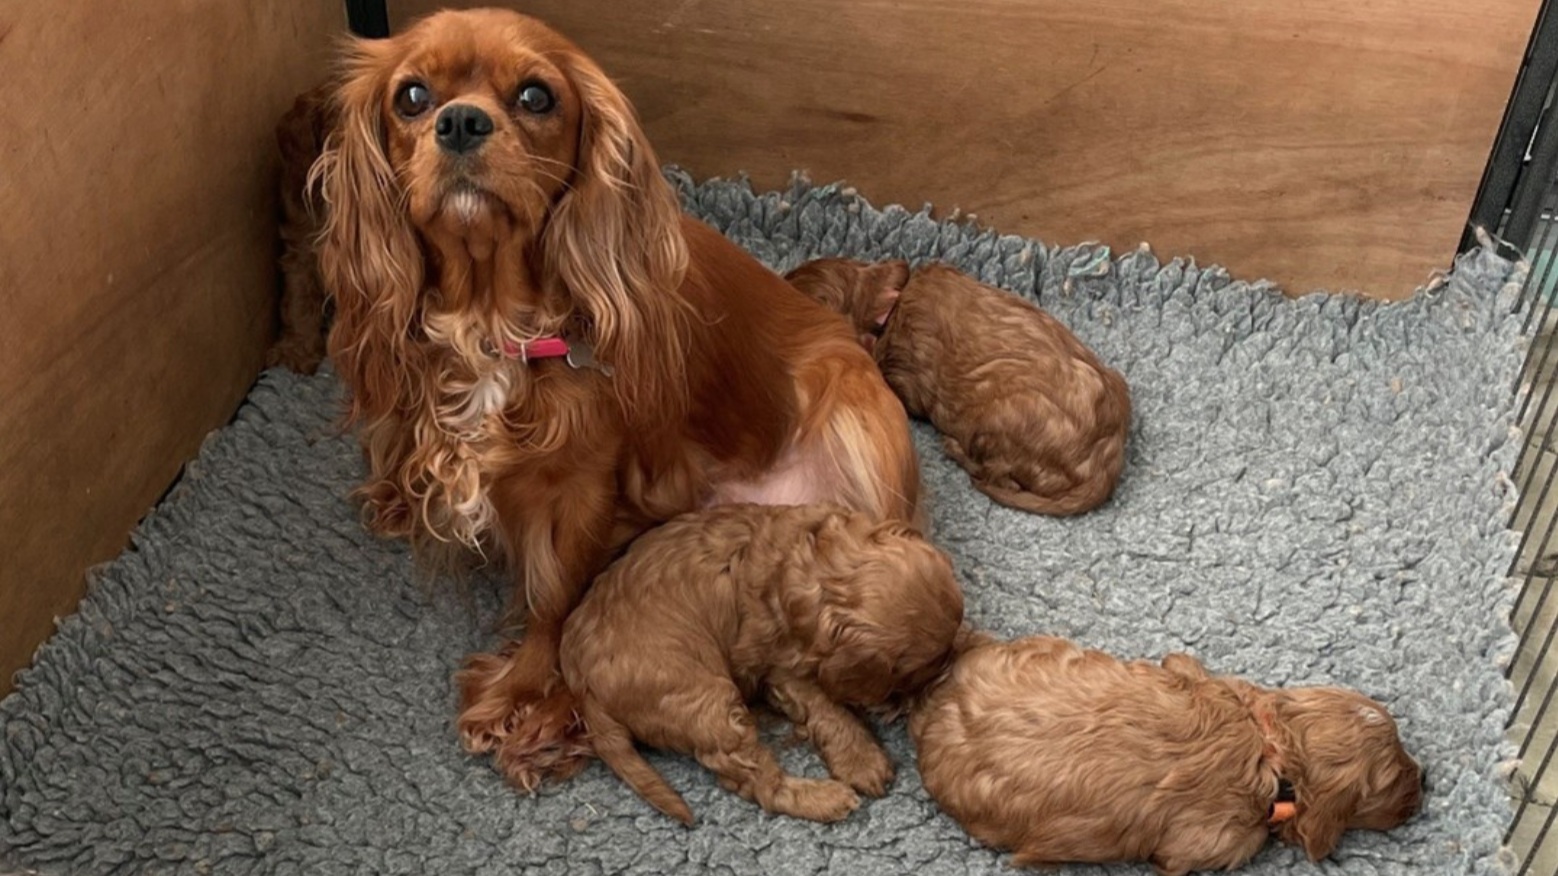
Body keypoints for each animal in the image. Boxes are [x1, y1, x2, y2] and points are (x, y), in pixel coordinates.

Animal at [311, 9, 921, 790]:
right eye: (412, 96)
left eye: (536, 96)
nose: (462, 122)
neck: (492, 324)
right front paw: (394, 489)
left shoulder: (584, 491)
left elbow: (555, 601)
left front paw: (523, 695)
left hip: (862, 435)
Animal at [560, 503, 964, 824]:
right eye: (911, 676)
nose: (952, 664)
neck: (811, 568)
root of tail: (580, 684)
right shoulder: (780, 667)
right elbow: (829, 709)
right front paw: (863, 761)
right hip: (704, 698)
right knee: (755, 782)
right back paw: (825, 798)